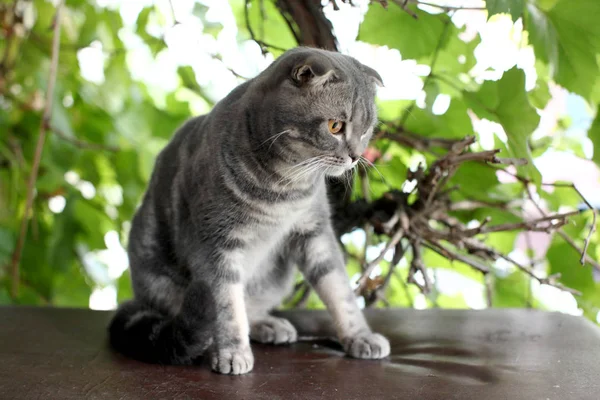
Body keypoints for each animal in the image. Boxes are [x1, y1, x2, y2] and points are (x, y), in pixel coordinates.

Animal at [108, 47, 392, 376]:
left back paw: (269, 325)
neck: (284, 188)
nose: (356, 156)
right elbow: (227, 305)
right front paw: (232, 351)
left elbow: (340, 291)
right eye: (336, 126)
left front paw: (360, 337)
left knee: (252, 306)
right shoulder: (215, 244)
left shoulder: (316, 233)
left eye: (367, 130)